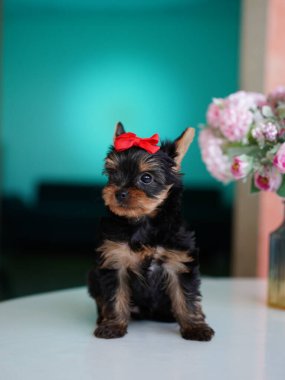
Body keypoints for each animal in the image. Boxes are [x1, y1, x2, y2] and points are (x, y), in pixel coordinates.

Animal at [87, 122, 214, 342]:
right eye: (113, 174)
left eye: (146, 178)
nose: (119, 192)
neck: (142, 222)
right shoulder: (115, 261)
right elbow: (115, 295)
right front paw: (112, 325)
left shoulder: (178, 262)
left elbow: (186, 296)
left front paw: (195, 327)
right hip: (93, 277)